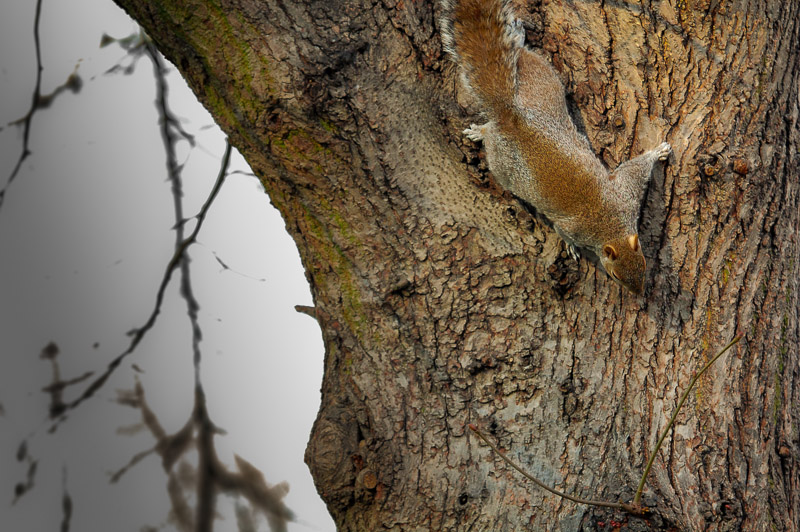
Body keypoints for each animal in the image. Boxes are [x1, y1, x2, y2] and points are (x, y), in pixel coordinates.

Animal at [440, 0, 671, 295]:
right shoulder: (591, 217)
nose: (639, 293)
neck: (611, 224)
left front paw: (658, 152)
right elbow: (567, 231)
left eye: (643, 264)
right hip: (502, 164)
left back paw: (517, 39)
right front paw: (571, 248)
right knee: (490, 133)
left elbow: (636, 169)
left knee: (520, 56)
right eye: (616, 275)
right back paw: (479, 132)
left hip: (544, 83)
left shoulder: (625, 197)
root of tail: (511, 116)